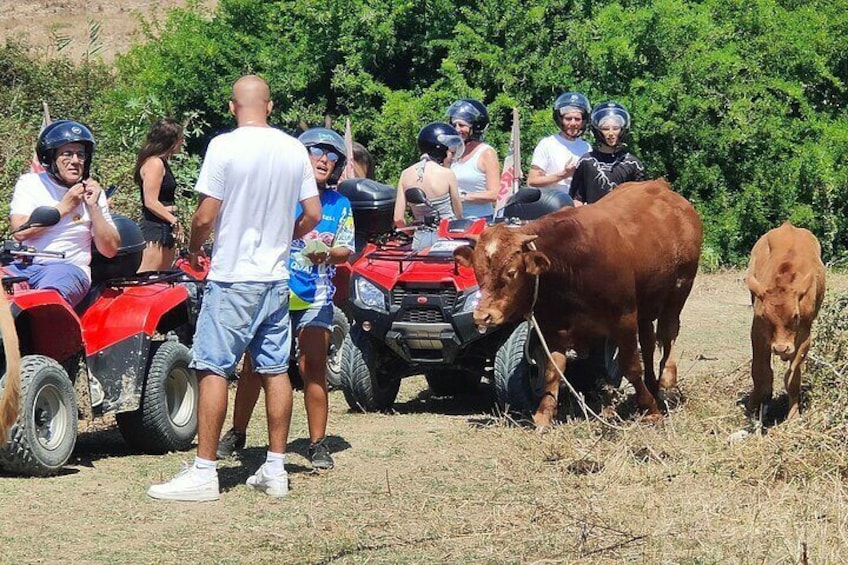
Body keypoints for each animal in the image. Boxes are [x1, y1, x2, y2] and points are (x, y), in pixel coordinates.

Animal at [458, 178, 704, 426]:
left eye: (511, 272)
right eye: (477, 272)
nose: (483, 316)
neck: (571, 264)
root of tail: (661, 187)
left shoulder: (624, 318)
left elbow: (631, 366)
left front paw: (650, 409)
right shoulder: (552, 326)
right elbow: (552, 370)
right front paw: (544, 413)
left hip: (680, 288)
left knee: (668, 331)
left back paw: (667, 378)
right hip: (646, 304)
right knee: (648, 342)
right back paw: (653, 385)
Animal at [744, 220, 824, 418]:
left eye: (796, 316)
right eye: (765, 316)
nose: (781, 348)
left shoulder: (805, 336)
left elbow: (793, 378)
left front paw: (793, 415)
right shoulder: (757, 331)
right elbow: (760, 373)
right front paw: (753, 405)